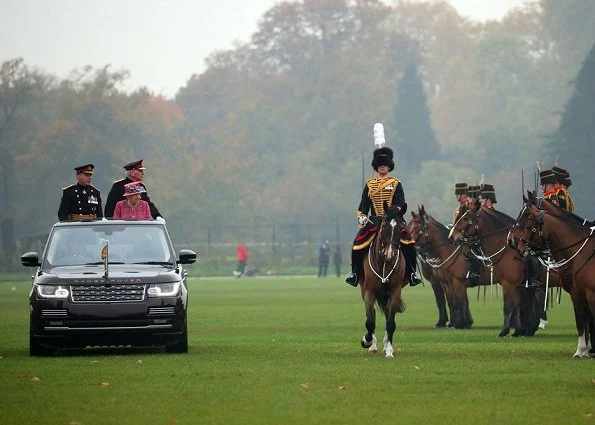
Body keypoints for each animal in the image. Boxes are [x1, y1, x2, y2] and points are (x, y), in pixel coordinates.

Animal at [358, 202, 410, 358]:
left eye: (401, 227)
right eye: (384, 226)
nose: (389, 254)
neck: (384, 264)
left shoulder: (395, 291)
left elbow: (390, 322)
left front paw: (389, 350)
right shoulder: (369, 292)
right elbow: (370, 321)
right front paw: (367, 341)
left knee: (387, 314)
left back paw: (387, 345)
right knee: (373, 315)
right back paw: (373, 345)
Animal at [452, 199, 560, 338]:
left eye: (466, 218)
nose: (452, 237)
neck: (506, 250)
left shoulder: (508, 284)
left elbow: (508, 307)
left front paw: (504, 331)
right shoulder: (518, 286)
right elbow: (517, 308)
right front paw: (518, 330)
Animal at [508, 192, 595, 358]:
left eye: (526, 218)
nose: (513, 242)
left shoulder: (584, 292)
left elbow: (584, 320)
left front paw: (582, 350)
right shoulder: (580, 292)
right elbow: (584, 320)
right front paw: (585, 350)